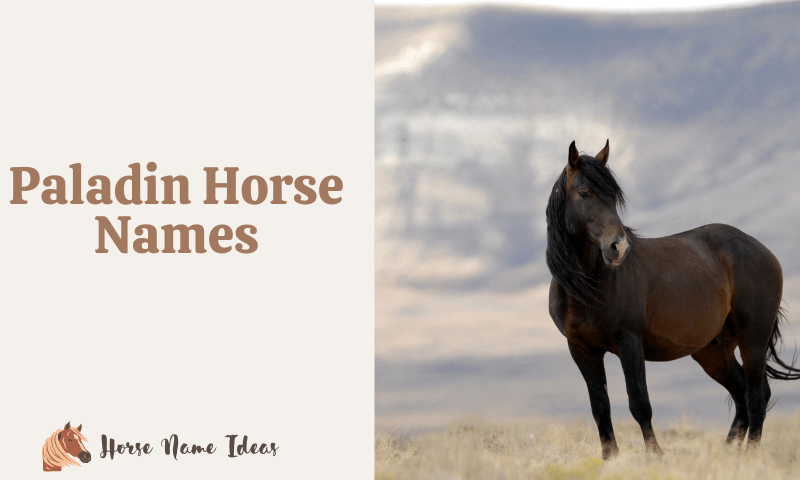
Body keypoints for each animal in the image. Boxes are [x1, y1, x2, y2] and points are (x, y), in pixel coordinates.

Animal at [546, 140, 800, 459]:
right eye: (583, 192)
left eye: (613, 197)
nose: (619, 247)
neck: (587, 287)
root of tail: (763, 251)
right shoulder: (582, 350)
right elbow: (600, 408)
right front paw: (610, 459)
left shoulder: (629, 342)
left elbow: (639, 403)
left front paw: (655, 455)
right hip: (713, 351)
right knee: (742, 393)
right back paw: (728, 453)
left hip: (752, 339)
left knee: (756, 394)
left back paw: (750, 456)